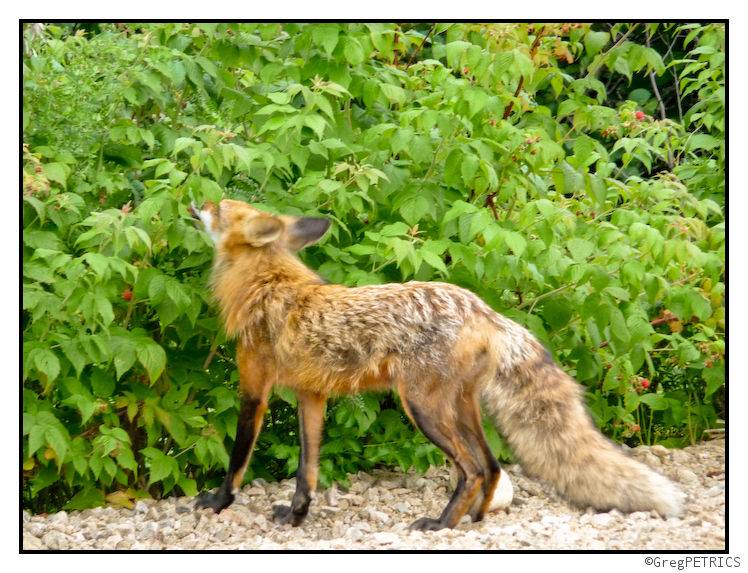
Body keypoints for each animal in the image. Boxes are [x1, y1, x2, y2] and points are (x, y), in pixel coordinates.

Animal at [188, 199, 684, 528]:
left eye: (220, 207)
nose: (198, 201)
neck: (266, 283)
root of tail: (483, 309)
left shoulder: (255, 388)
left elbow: (237, 460)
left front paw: (217, 502)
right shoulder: (311, 396)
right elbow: (306, 472)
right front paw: (296, 517)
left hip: (423, 409)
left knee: (472, 469)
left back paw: (441, 524)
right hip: (462, 409)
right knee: (492, 466)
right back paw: (475, 520)